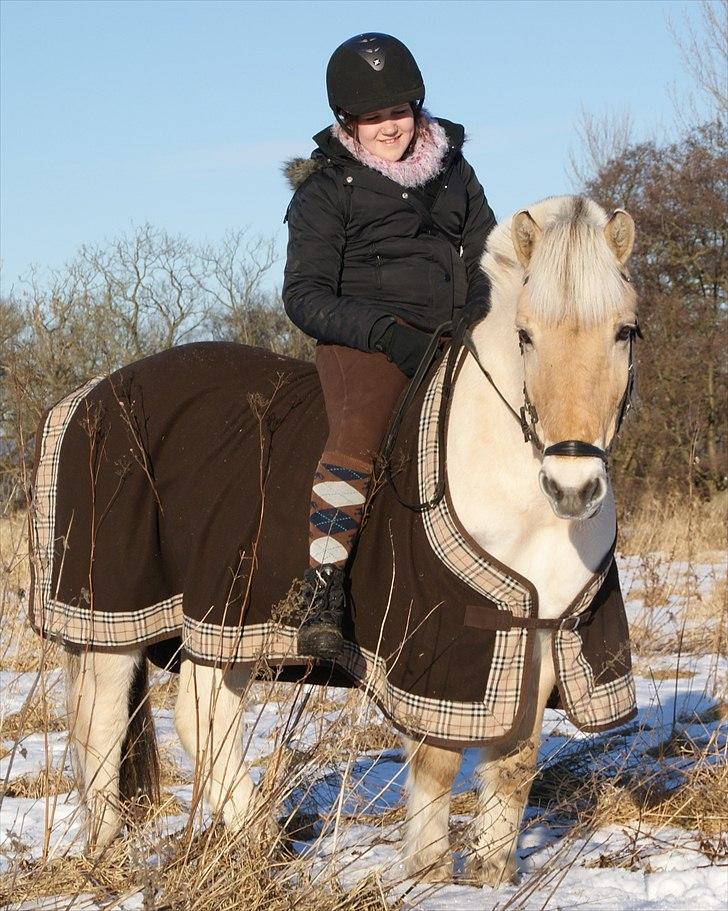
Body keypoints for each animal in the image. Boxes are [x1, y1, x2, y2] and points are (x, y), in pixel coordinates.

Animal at [28, 195, 639, 887]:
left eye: (625, 331)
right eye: (526, 334)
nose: (574, 486)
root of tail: (87, 394)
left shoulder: (535, 628)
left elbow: (514, 762)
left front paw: (491, 874)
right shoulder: (434, 641)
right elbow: (436, 759)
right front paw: (430, 869)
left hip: (228, 615)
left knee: (203, 712)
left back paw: (256, 843)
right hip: (113, 607)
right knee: (103, 722)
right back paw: (135, 850)